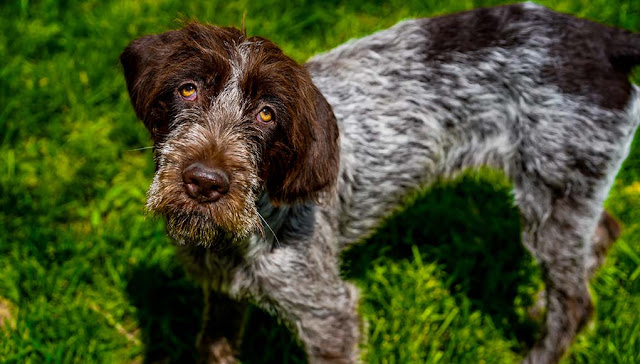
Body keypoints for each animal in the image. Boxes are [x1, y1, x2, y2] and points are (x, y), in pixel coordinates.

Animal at [121, 3, 640, 364]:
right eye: (188, 89)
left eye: (267, 114)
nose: (205, 182)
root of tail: (602, 39)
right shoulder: (222, 292)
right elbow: (214, 344)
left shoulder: (329, 316)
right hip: (563, 192)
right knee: (601, 233)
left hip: (553, 193)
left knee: (574, 303)